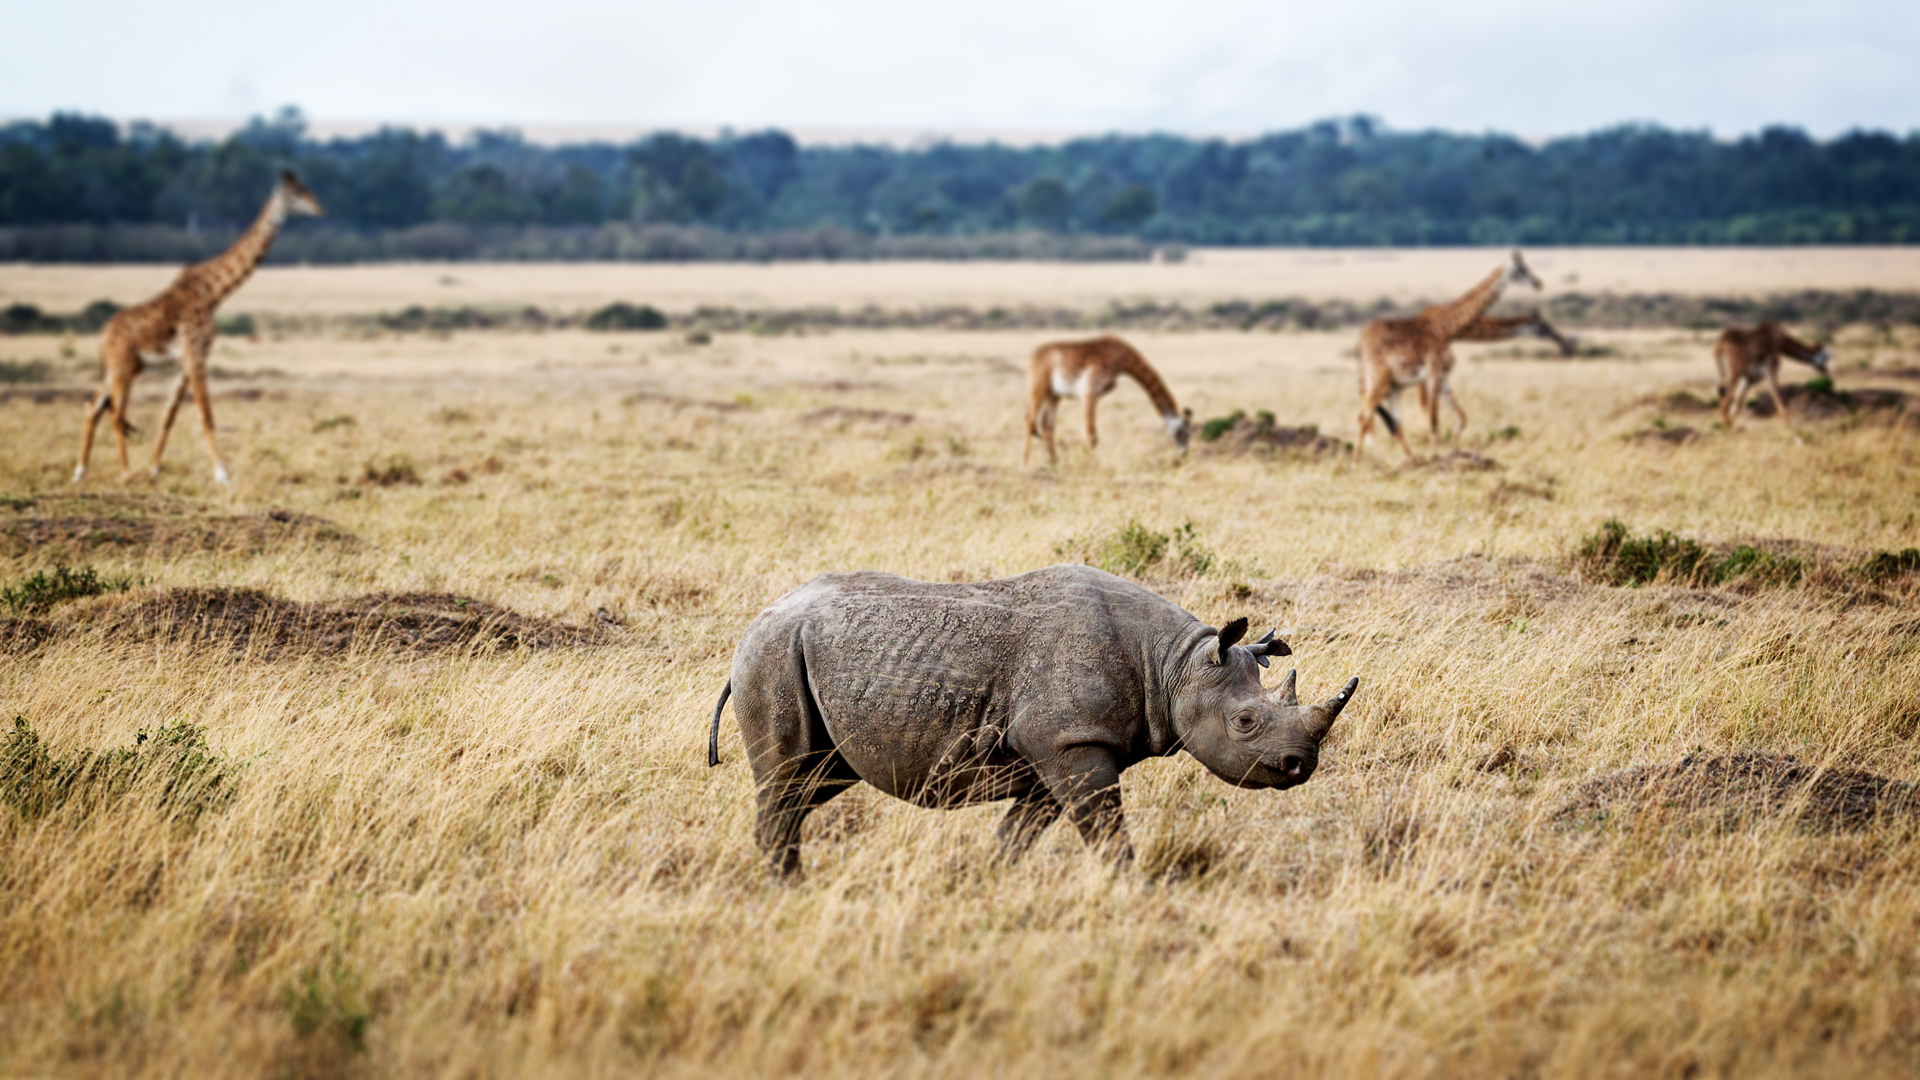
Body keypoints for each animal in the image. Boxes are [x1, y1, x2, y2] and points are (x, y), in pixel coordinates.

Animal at [72, 169, 322, 484]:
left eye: (306, 189)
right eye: (296, 193)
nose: (319, 208)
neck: (214, 293)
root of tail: (102, 337)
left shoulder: (187, 358)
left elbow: (170, 414)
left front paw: (154, 469)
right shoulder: (196, 353)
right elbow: (206, 414)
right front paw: (222, 475)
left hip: (125, 367)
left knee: (93, 404)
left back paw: (80, 471)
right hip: (123, 366)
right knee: (115, 412)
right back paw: (126, 472)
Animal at [1029, 330, 1190, 461]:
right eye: (1183, 432)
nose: (1184, 453)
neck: (1122, 357)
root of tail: (1033, 356)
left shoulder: (1091, 394)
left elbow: (1091, 436)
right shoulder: (1089, 390)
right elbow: (1091, 437)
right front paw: (1090, 465)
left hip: (1053, 394)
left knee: (1045, 425)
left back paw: (1052, 461)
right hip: (1038, 388)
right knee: (1029, 421)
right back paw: (1027, 465)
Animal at [1351, 249, 1543, 461]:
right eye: (1521, 269)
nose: (1538, 283)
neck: (1448, 326)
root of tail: (1361, 339)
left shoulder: (1441, 378)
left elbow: (1459, 417)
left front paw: (1448, 452)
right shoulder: (1433, 374)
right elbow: (1433, 418)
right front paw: (1435, 455)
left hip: (1392, 387)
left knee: (1392, 422)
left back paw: (1410, 458)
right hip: (1379, 380)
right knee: (1363, 418)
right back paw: (1357, 461)